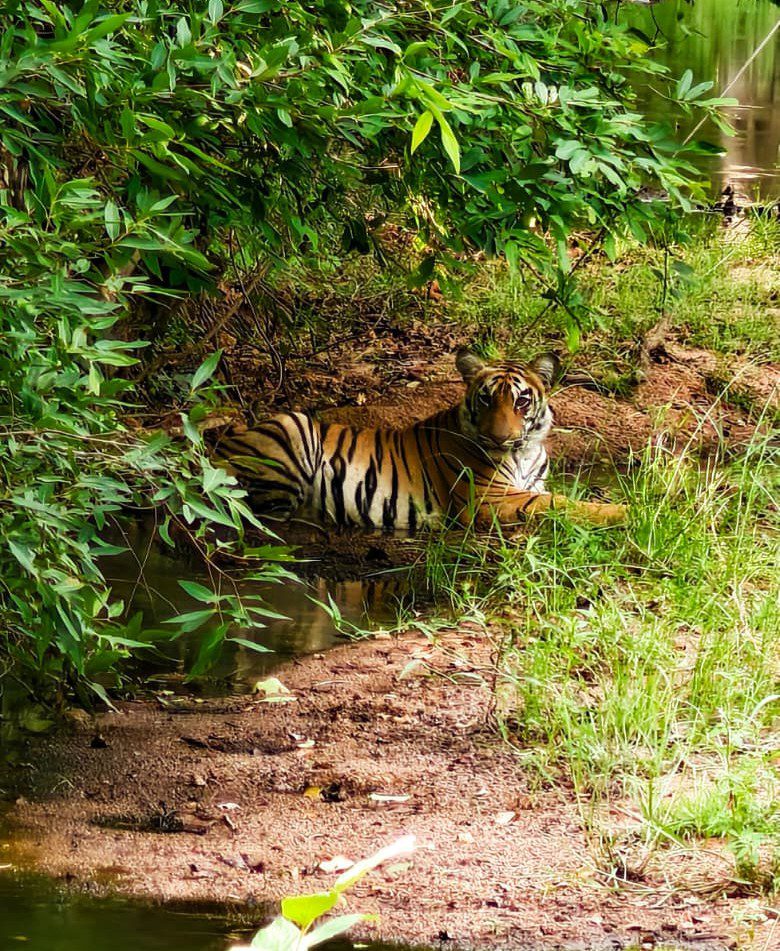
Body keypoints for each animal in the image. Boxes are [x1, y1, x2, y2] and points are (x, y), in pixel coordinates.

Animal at [211, 350, 626, 531]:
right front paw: (624, 511)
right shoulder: (488, 499)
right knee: (260, 512)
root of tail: (216, 449)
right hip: (292, 426)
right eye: (486, 399)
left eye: (521, 401)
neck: (525, 451)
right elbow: (561, 503)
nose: (498, 437)